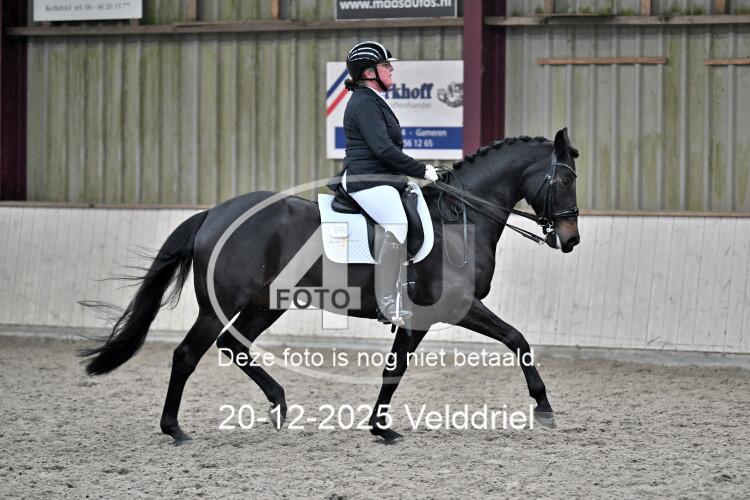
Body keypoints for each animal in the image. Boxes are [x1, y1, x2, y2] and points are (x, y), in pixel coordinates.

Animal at [80, 128, 581, 444]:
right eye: (566, 178)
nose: (570, 239)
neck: (461, 219)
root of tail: (214, 214)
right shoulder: (454, 306)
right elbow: (517, 339)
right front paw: (543, 407)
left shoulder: (415, 320)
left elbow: (394, 370)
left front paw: (380, 427)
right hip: (220, 305)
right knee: (188, 354)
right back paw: (175, 429)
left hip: (267, 303)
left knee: (233, 346)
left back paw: (279, 405)